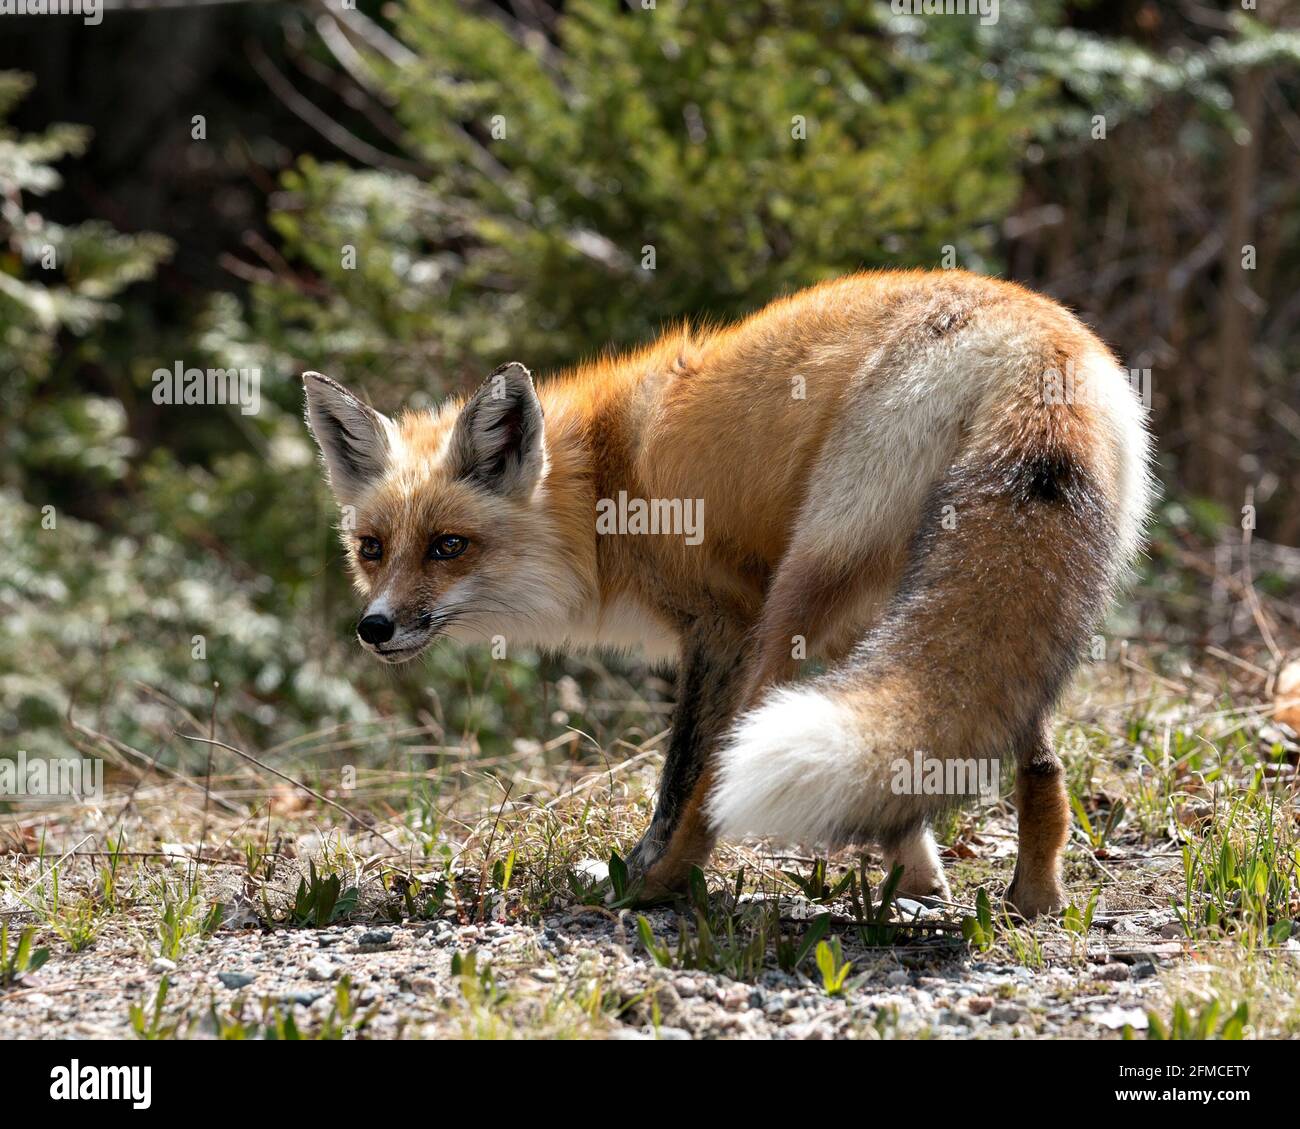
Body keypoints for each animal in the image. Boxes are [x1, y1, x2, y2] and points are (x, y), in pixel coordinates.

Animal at [301, 273, 1149, 915]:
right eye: (372, 548)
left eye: (449, 546)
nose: (374, 626)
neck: (600, 489)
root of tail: (1031, 337)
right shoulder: (863, 631)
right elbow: (899, 782)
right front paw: (920, 877)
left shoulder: (718, 625)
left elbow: (681, 771)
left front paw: (647, 861)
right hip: (976, 610)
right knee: (1037, 756)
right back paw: (1035, 895)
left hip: (795, 597)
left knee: (724, 770)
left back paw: (659, 888)